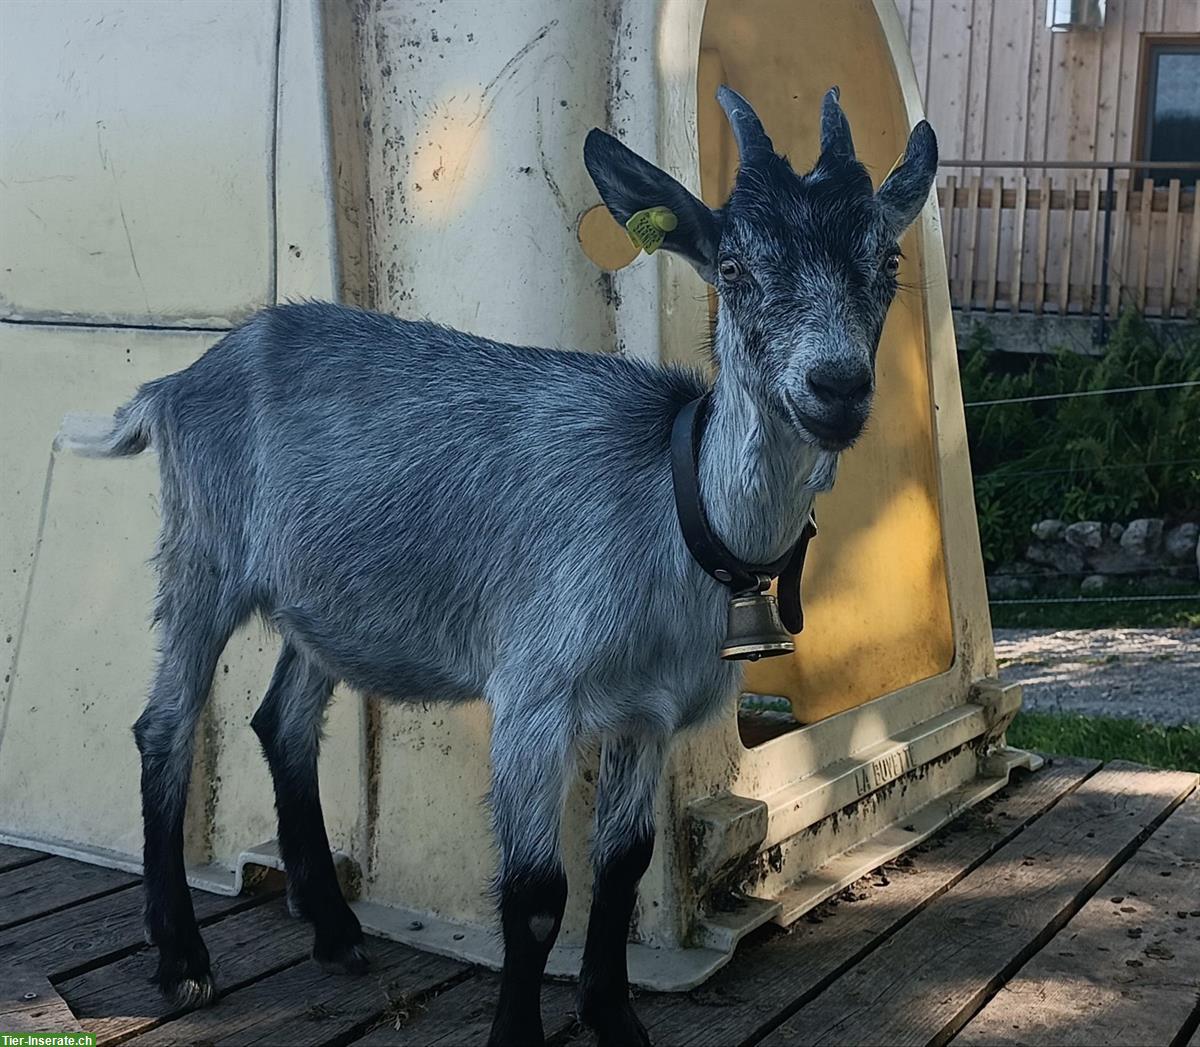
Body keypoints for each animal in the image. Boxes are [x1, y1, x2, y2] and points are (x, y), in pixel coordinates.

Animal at [68, 90, 936, 1047]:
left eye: (886, 257)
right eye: (735, 265)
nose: (836, 387)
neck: (672, 510)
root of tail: (174, 386)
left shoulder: (649, 714)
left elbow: (623, 865)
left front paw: (615, 1017)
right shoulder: (534, 695)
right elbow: (536, 895)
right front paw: (522, 1031)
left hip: (325, 602)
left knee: (282, 721)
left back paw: (335, 930)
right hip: (204, 556)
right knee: (165, 726)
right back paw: (183, 959)